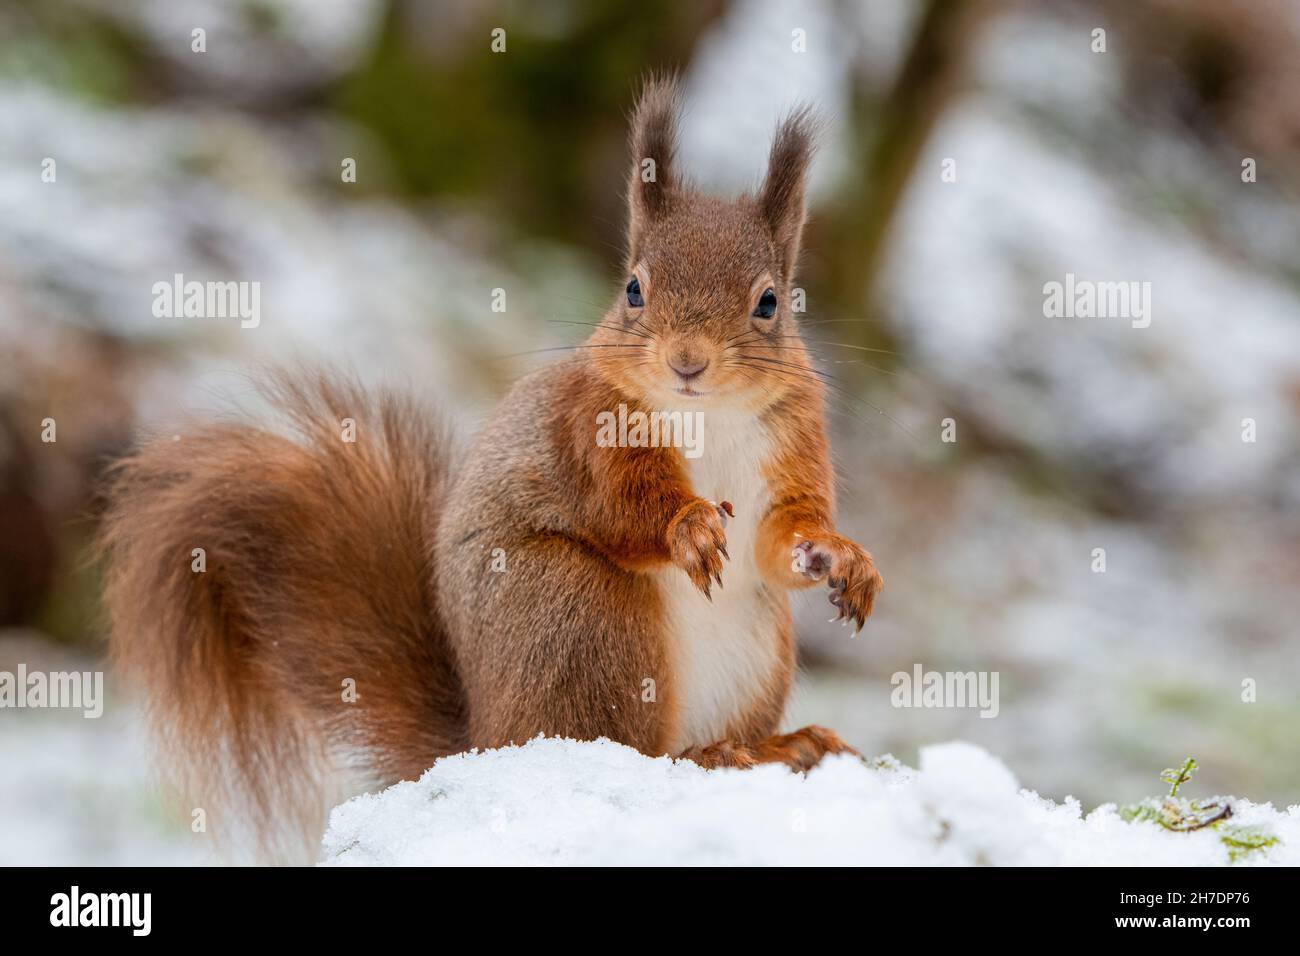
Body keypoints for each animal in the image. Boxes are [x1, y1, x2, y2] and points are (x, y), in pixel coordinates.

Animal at [98, 77, 883, 856]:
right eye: (633, 289)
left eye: (770, 302)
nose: (687, 362)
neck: (705, 414)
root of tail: (482, 738)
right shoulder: (587, 433)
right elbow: (625, 509)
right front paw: (687, 526)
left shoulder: (793, 444)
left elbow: (781, 538)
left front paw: (841, 558)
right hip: (580, 612)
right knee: (627, 743)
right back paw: (712, 755)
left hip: (755, 645)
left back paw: (781, 746)